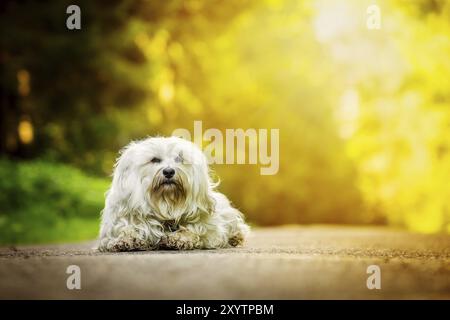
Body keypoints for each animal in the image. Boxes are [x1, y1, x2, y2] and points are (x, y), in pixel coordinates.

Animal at [97, 136, 250, 251]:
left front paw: (179, 238)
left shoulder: (209, 229)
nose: (169, 171)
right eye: (155, 159)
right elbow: (126, 230)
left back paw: (236, 237)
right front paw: (124, 239)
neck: (166, 203)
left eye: (179, 159)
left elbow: (194, 231)